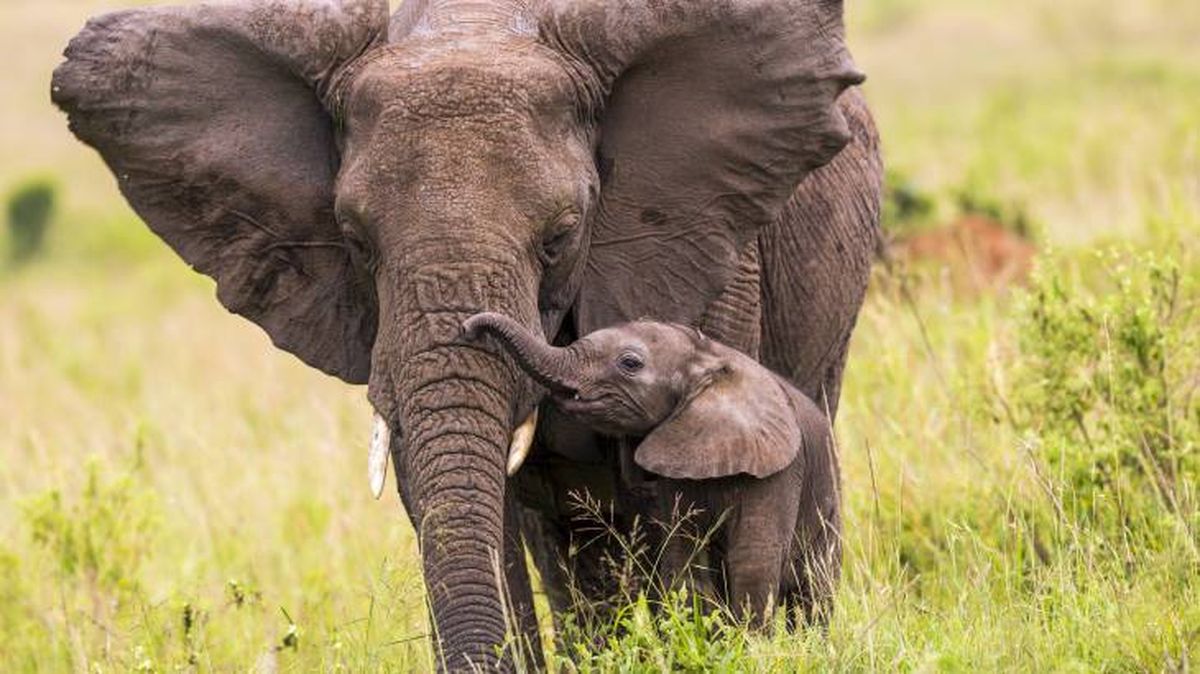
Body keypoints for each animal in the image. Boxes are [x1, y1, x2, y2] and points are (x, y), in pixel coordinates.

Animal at [462, 313, 841, 628]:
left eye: (630, 363)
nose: (467, 328)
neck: (707, 358)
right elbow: (682, 555)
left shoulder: (776, 472)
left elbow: (753, 561)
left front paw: (750, 647)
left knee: (814, 590)